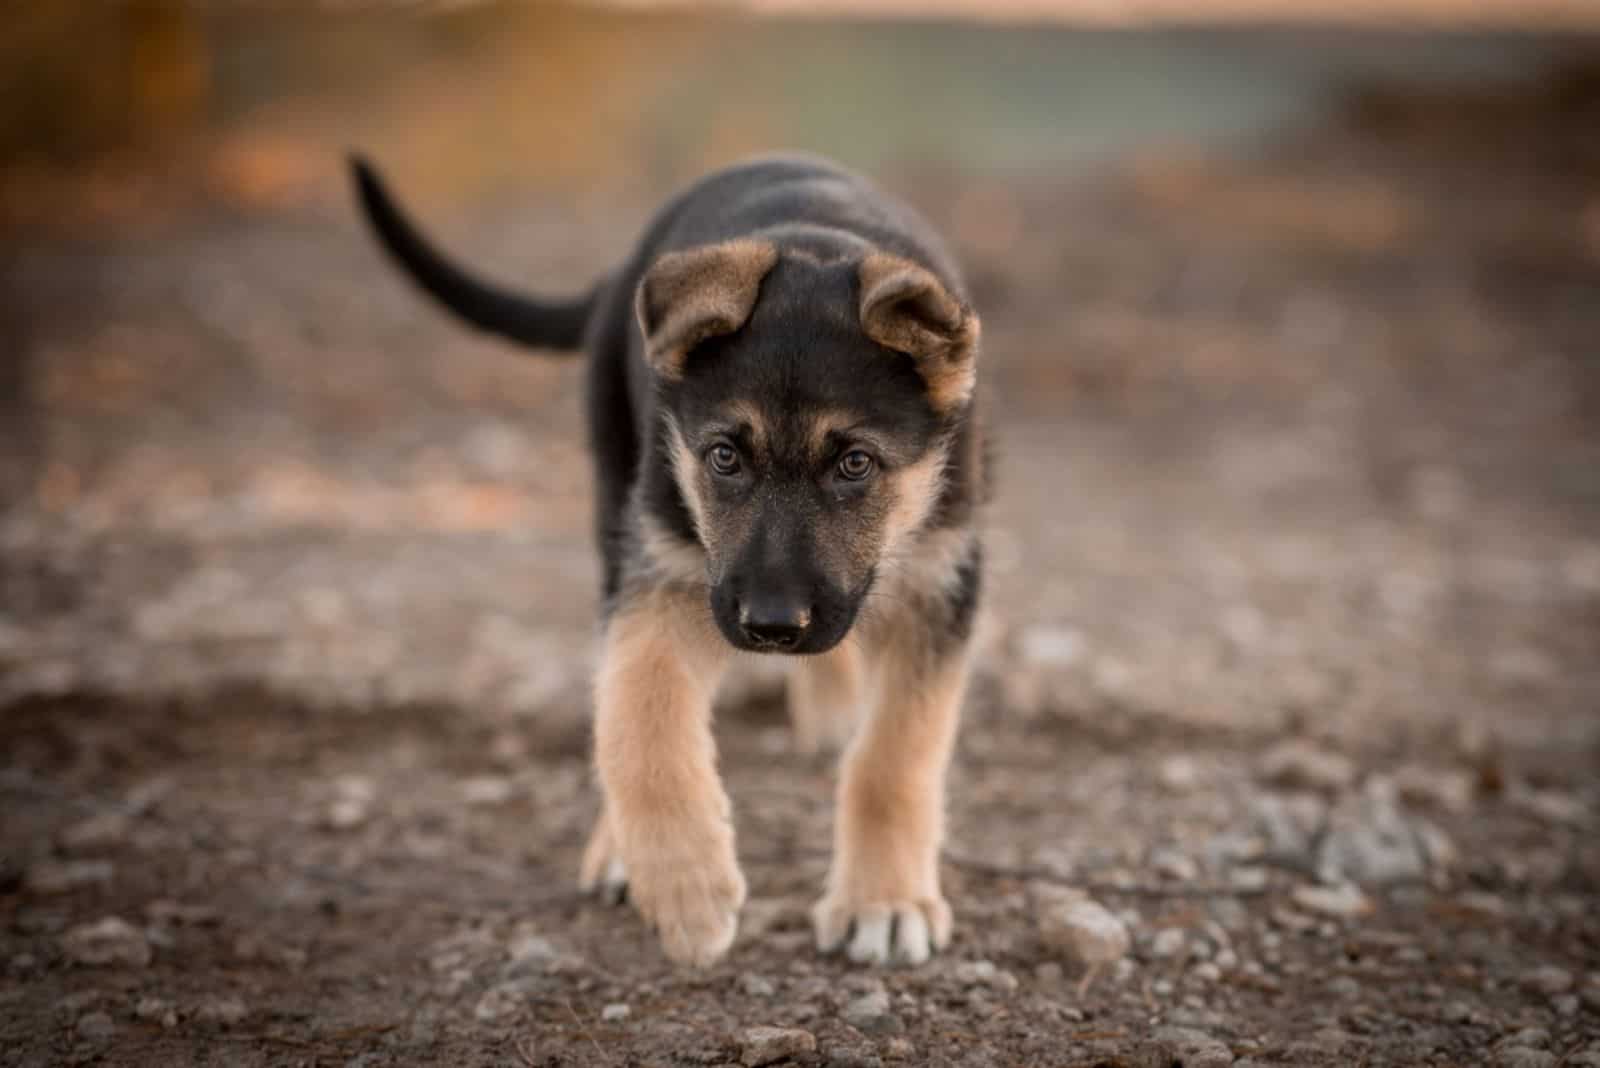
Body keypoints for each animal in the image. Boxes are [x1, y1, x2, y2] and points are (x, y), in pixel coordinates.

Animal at [350, 156, 985, 965]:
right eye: (723, 457)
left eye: (855, 464)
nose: (771, 627)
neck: (818, 239)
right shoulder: (666, 567)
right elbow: (637, 711)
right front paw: (685, 881)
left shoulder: (942, 574)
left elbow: (896, 755)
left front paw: (885, 899)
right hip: (615, 501)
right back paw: (621, 850)